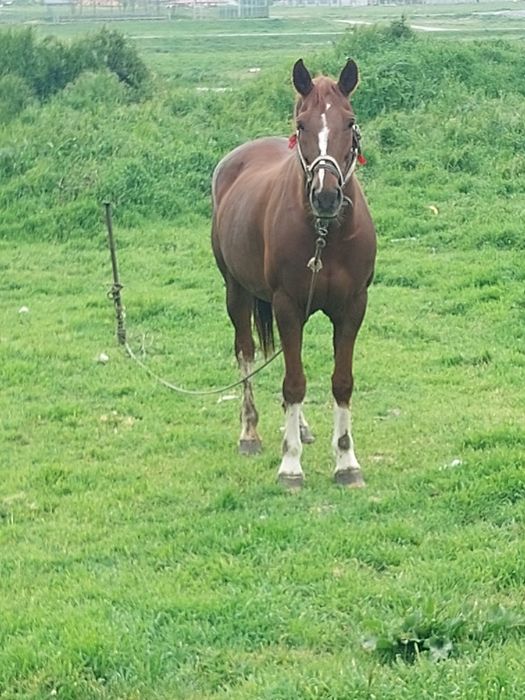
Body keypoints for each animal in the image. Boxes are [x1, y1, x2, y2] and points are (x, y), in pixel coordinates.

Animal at [211, 58, 376, 489]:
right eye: (302, 125)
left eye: (349, 122)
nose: (326, 196)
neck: (325, 233)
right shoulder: (286, 305)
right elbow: (294, 381)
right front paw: (290, 465)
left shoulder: (353, 308)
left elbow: (340, 382)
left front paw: (346, 462)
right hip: (236, 291)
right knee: (247, 351)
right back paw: (250, 433)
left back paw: (300, 428)